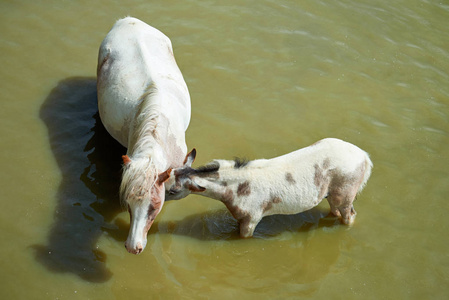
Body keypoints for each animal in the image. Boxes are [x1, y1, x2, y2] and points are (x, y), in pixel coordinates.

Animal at [166, 139, 372, 239]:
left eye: (173, 191)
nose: (160, 202)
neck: (238, 188)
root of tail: (364, 157)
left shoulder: (251, 221)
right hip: (332, 197)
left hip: (344, 197)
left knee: (349, 216)